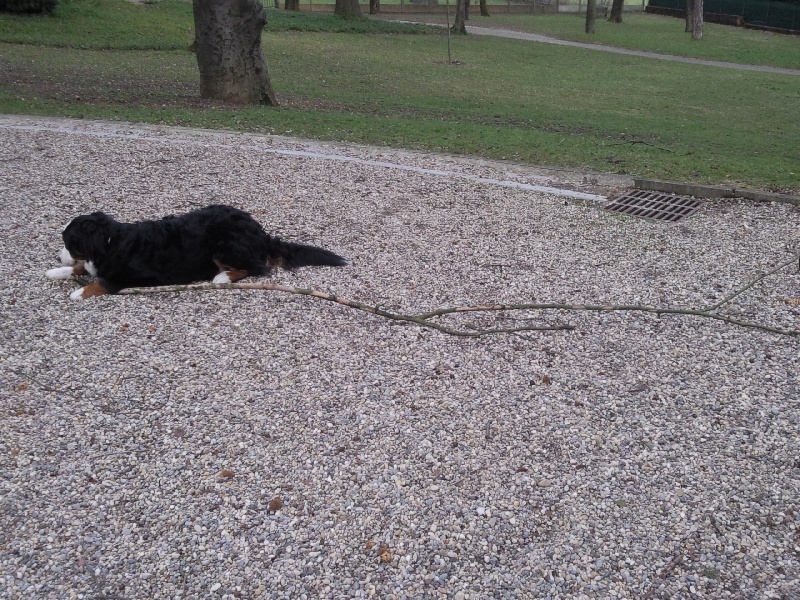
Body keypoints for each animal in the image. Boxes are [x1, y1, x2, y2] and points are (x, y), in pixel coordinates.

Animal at [46, 204, 349, 300]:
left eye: (69, 243)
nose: (59, 254)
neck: (110, 241)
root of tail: (259, 232)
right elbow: (81, 268)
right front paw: (57, 270)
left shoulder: (127, 277)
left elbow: (99, 282)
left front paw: (78, 291)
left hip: (224, 245)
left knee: (255, 267)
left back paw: (222, 278)